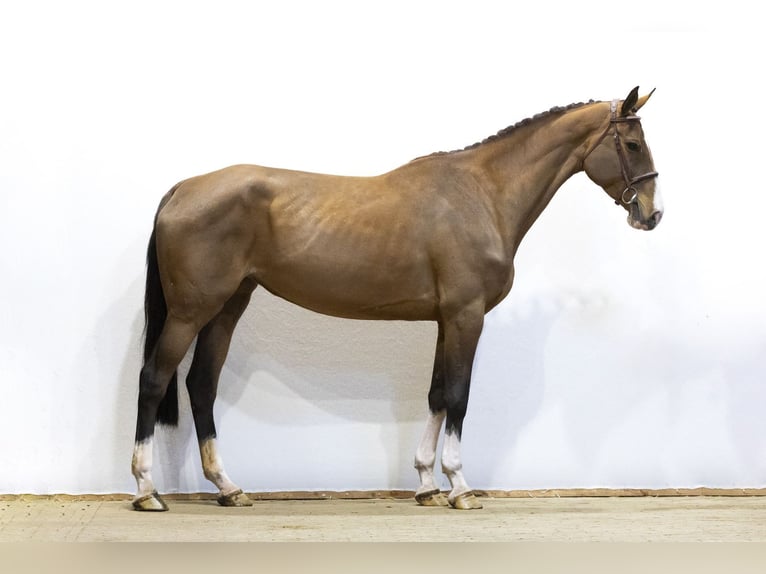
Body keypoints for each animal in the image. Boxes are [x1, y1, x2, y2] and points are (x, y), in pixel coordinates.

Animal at [131, 87, 662, 511]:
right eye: (633, 144)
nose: (651, 214)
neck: (482, 194)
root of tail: (183, 189)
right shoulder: (467, 317)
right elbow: (459, 396)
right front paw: (460, 487)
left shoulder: (446, 320)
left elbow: (436, 395)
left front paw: (427, 485)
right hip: (190, 312)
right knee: (155, 379)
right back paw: (146, 490)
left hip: (226, 308)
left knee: (201, 385)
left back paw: (229, 488)